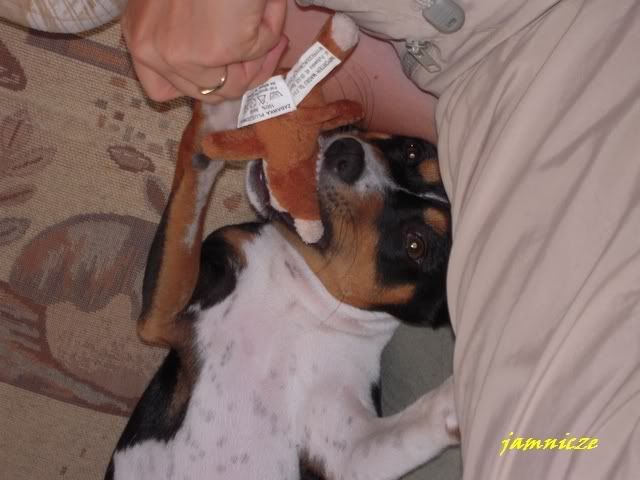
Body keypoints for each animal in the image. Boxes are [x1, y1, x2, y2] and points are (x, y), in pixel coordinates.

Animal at [105, 102, 458, 480]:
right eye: (412, 150)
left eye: (415, 244)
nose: (347, 154)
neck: (298, 294)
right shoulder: (168, 315)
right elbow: (188, 205)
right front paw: (217, 119)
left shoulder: (347, 450)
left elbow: (412, 426)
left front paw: (454, 399)